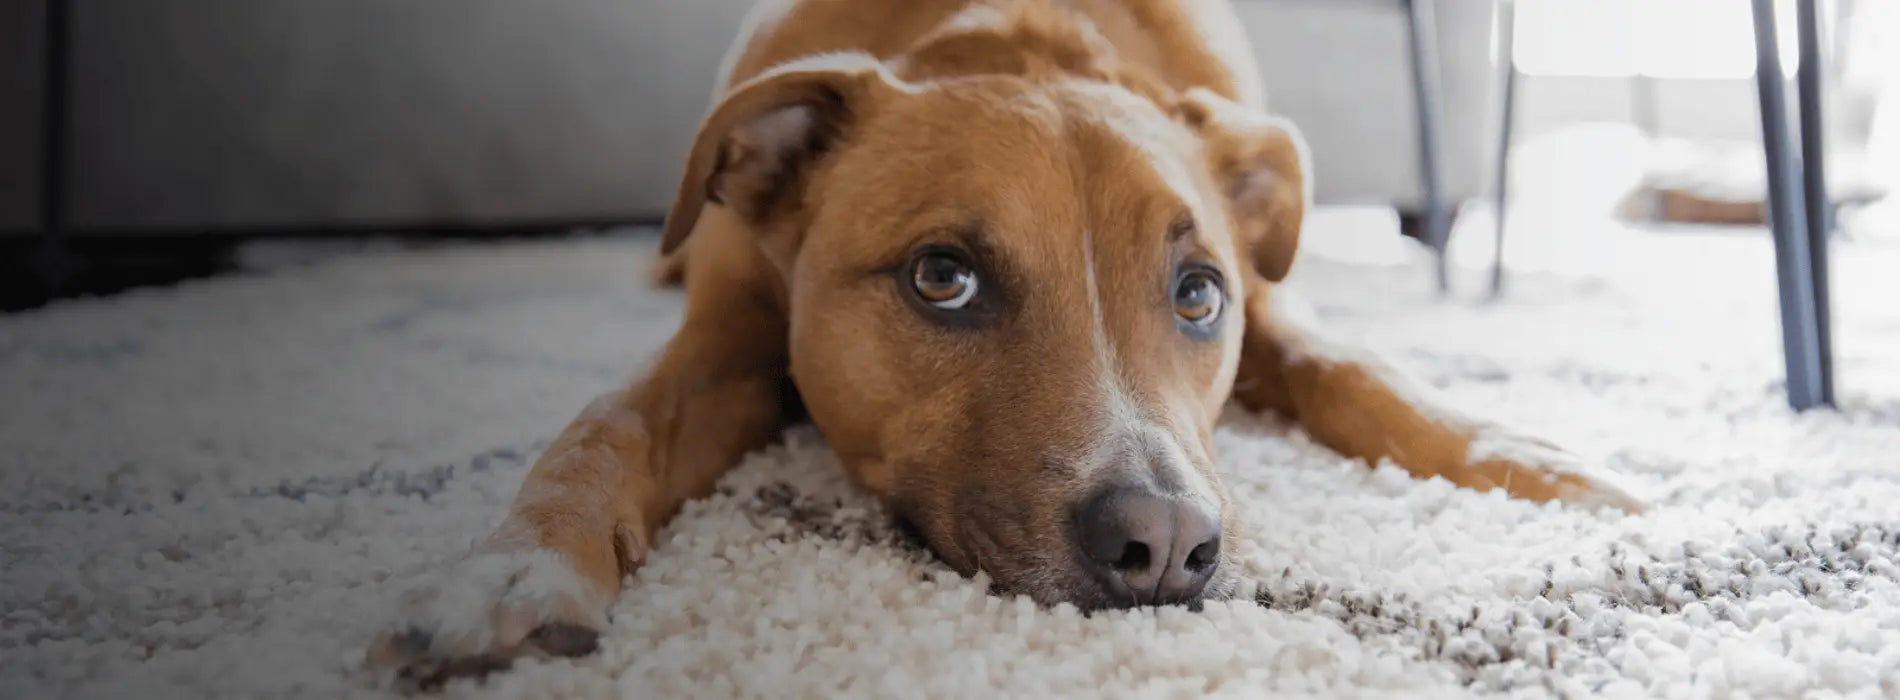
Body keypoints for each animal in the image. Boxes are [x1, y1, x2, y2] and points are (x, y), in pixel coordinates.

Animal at [362, 0, 1641, 688]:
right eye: (942, 278)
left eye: (1197, 295)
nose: (1165, 546)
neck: (1009, 35)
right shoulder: (727, 337)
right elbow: (605, 424)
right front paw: (518, 565)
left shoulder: (1277, 307)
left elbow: (1359, 367)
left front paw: (1530, 460)